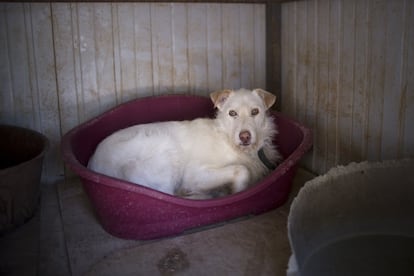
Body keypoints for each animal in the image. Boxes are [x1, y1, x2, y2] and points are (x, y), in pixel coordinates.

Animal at [87, 88, 282, 198]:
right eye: (232, 113)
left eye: (255, 111)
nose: (245, 136)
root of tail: (93, 163)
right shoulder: (194, 174)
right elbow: (242, 170)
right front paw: (236, 192)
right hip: (165, 150)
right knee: (166, 195)